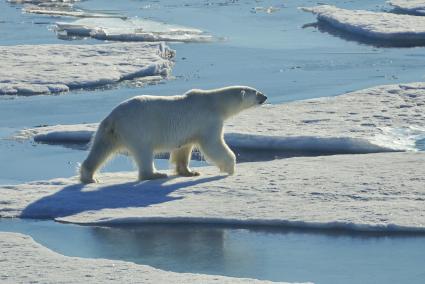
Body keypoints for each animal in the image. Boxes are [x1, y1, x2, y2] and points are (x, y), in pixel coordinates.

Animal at [79, 86, 264, 183]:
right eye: (256, 92)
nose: (265, 96)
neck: (215, 103)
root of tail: (114, 117)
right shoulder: (208, 121)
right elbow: (213, 145)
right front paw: (230, 167)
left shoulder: (189, 130)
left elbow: (183, 149)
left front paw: (189, 172)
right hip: (138, 128)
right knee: (144, 152)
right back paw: (155, 174)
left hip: (107, 131)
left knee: (100, 149)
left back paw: (89, 177)